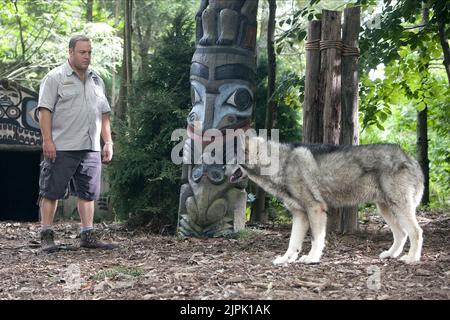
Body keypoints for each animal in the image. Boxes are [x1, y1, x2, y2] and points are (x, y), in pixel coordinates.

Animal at [230, 138, 424, 264]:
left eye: (230, 158)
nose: (222, 171)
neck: (279, 164)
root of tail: (411, 159)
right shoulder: (300, 216)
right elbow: (293, 243)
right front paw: (286, 259)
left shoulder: (315, 209)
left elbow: (316, 239)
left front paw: (312, 258)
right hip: (386, 209)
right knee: (402, 234)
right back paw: (391, 255)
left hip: (399, 209)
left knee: (416, 232)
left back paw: (412, 258)